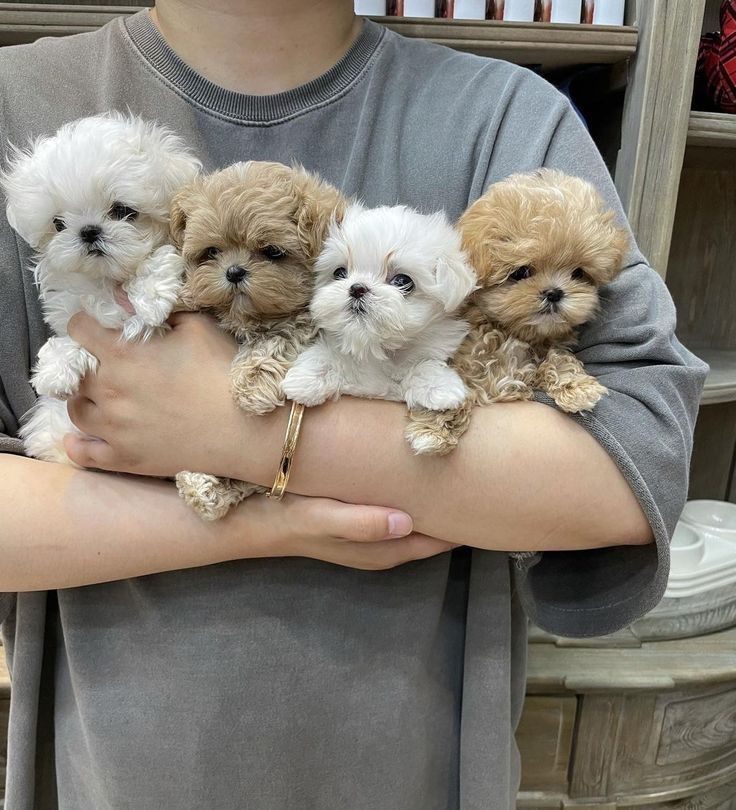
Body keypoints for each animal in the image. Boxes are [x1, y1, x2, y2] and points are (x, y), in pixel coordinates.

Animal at [2, 112, 201, 460]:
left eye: (122, 211)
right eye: (58, 224)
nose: (88, 231)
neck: (108, 280)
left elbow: (161, 260)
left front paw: (151, 297)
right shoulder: (74, 313)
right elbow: (69, 338)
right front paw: (55, 370)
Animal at [172, 161, 344, 520]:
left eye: (272, 252)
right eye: (211, 251)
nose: (234, 272)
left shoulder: (306, 323)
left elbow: (280, 337)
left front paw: (252, 384)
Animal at [282, 204, 478, 410]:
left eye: (402, 281)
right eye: (340, 273)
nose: (357, 288)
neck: (373, 348)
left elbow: (424, 364)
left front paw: (438, 386)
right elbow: (325, 358)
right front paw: (306, 380)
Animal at [406, 168, 628, 454]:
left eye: (578, 273)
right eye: (521, 272)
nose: (554, 292)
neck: (511, 333)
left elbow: (559, 357)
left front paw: (576, 386)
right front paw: (433, 429)